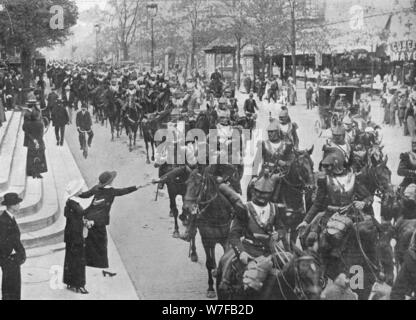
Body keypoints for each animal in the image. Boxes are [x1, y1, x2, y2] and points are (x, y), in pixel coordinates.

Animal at [182, 166, 237, 298]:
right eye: (186, 183)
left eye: (198, 184)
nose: (186, 207)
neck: (216, 211)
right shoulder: (206, 239)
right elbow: (208, 263)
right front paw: (211, 289)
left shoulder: (225, 239)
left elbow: (224, 255)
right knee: (193, 236)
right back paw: (193, 253)